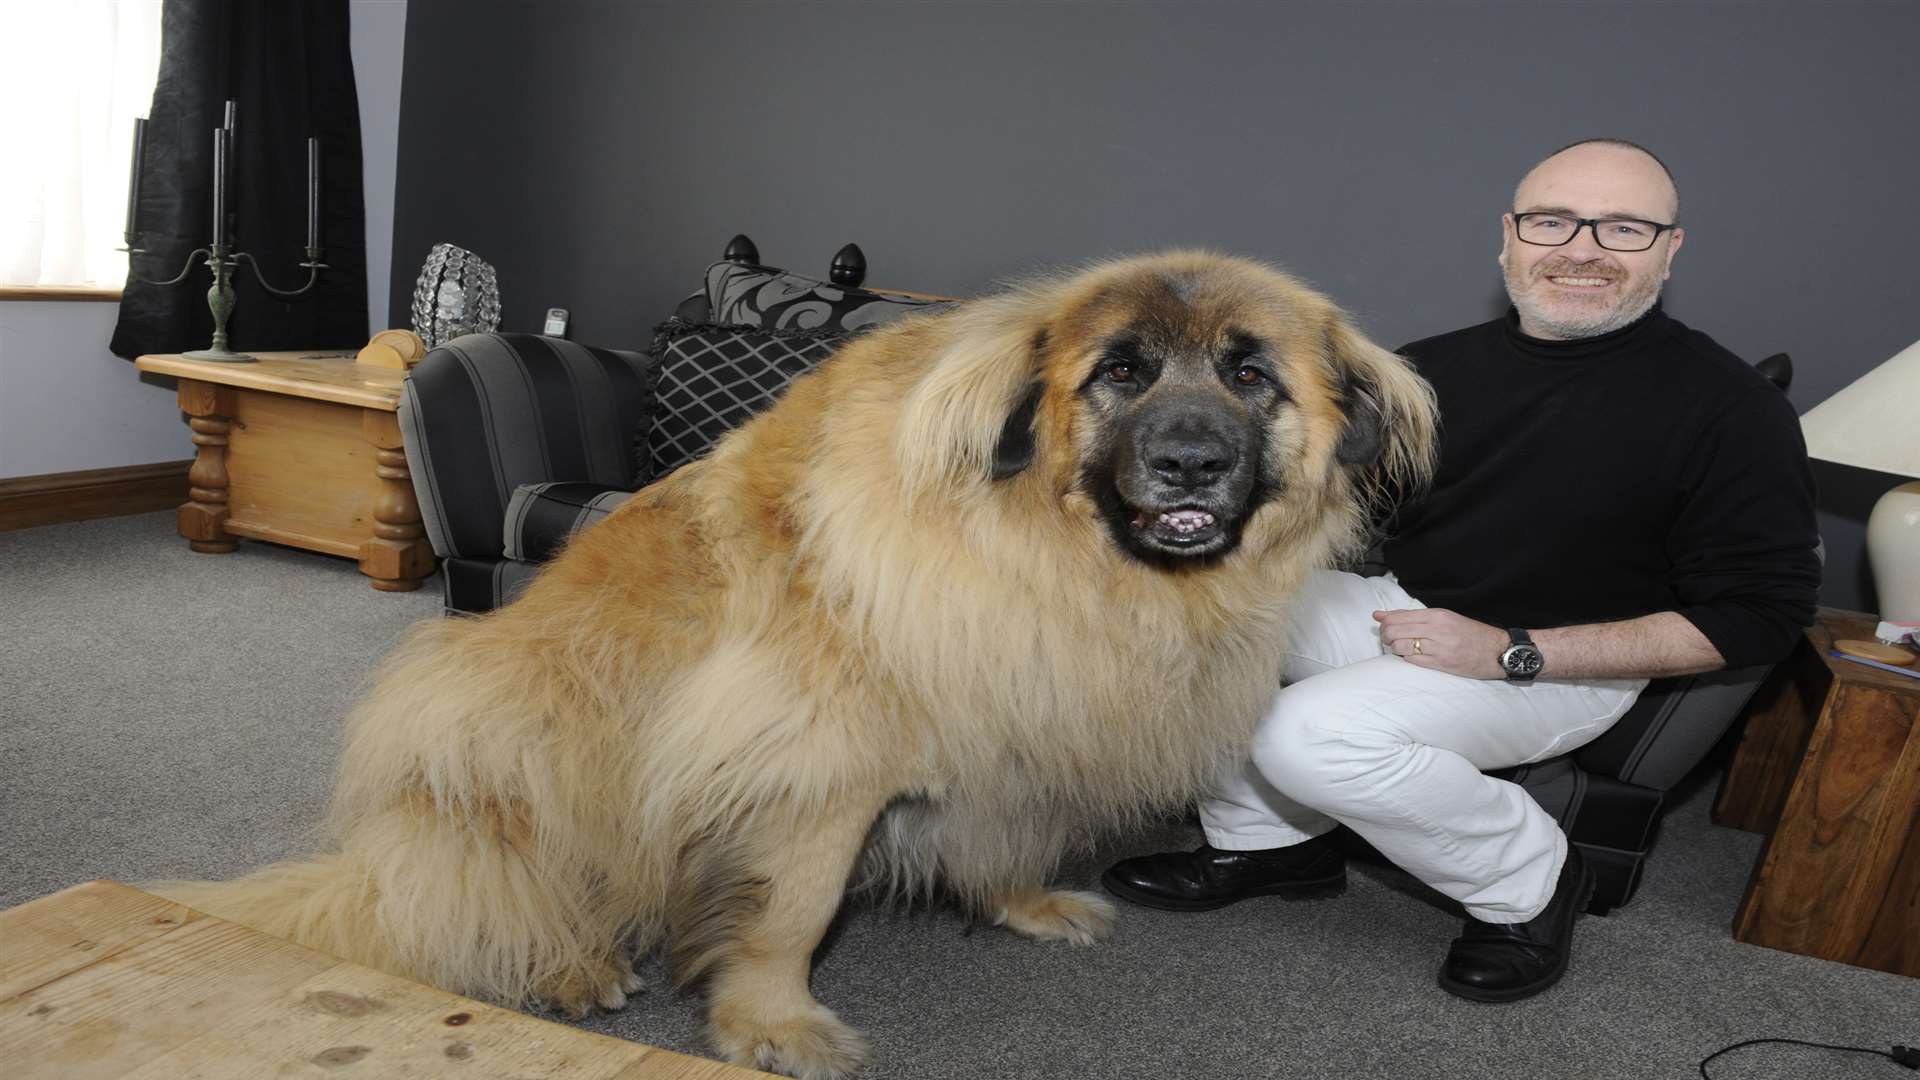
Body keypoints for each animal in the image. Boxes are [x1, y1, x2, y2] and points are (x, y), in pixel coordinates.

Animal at [157, 249, 1436, 1068]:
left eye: (1251, 375)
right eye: (1118, 372)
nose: (1188, 463)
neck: (1048, 552)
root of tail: (371, 860)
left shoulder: (1026, 715)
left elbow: (1017, 824)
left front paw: (1023, 902)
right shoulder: (814, 757)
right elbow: (795, 906)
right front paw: (770, 1023)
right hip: (509, 721)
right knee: (486, 897)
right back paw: (566, 964)